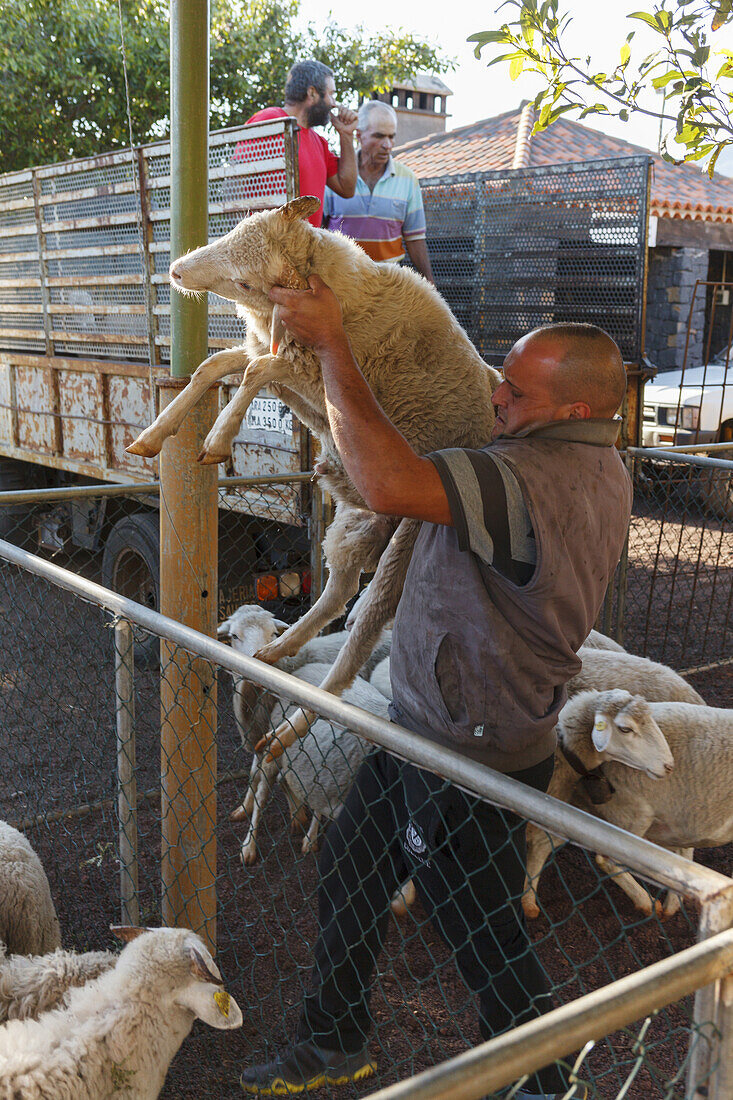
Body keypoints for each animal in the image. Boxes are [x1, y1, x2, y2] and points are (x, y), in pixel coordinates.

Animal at [128, 195, 499, 756]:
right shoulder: (279, 356)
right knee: (336, 594)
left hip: (410, 544)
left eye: (245, 282)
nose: (176, 271)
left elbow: (250, 373)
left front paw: (217, 440)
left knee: (358, 640)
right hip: (355, 525)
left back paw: (290, 728)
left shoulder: (306, 367)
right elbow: (214, 368)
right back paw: (278, 648)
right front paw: (155, 434)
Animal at [526, 690, 730, 924]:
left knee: (542, 841)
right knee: (609, 859)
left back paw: (528, 903)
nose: (668, 765)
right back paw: (648, 902)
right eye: (625, 729)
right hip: (633, 812)